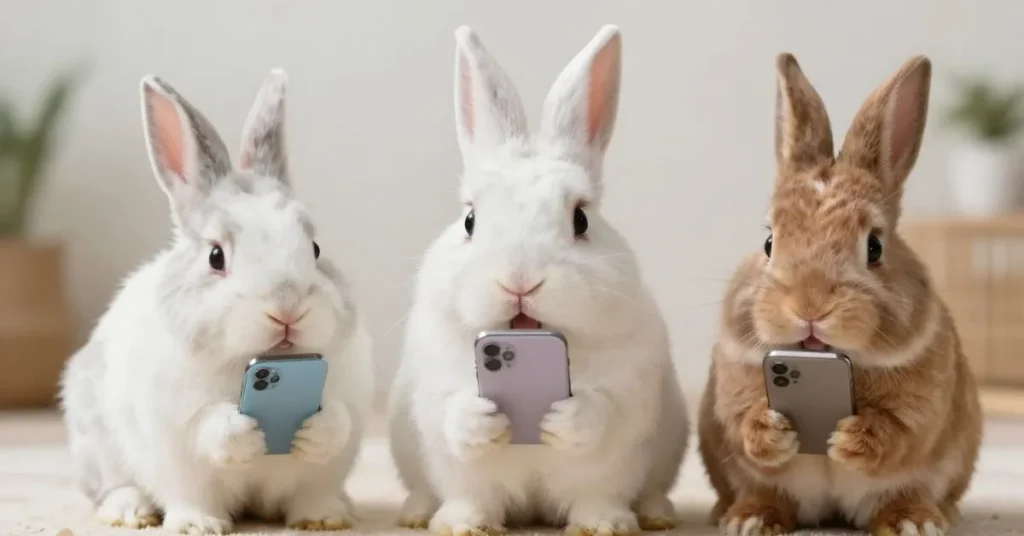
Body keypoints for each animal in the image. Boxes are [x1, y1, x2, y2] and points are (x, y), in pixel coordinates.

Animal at [59, 69, 373, 534]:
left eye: (315, 249)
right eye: (215, 257)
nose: (287, 308)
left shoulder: (345, 400)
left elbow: (337, 422)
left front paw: (316, 445)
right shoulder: (177, 422)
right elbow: (208, 429)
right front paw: (241, 434)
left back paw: (330, 514)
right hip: (97, 445)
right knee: (113, 487)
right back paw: (148, 515)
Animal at [387, 25, 688, 536]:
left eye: (581, 219)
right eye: (470, 220)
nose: (520, 281)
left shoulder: (629, 395)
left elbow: (602, 415)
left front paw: (568, 421)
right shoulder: (438, 395)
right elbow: (455, 420)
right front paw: (480, 425)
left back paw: (640, 518)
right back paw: (426, 515)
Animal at [697, 53, 983, 536]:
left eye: (875, 247)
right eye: (769, 242)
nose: (809, 307)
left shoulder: (921, 410)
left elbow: (899, 432)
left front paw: (851, 438)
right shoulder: (732, 393)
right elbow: (744, 425)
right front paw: (773, 430)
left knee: (907, 496)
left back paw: (916, 522)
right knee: (767, 495)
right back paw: (748, 518)